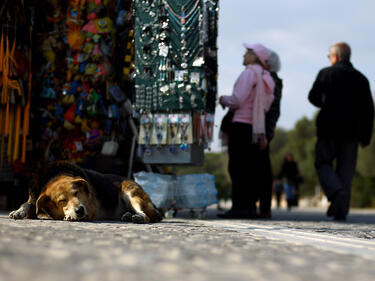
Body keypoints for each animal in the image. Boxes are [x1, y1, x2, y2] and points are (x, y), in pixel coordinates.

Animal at [9, 160, 163, 223]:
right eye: (62, 200)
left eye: (76, 193)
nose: (80, 210)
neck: (54, 176)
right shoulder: (34, 197)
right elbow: (27, 204)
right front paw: (18, 211)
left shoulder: (91, 209)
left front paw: (70, 216)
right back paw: (127, 216)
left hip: (131, 193)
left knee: (147, 216)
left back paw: (139, 217)